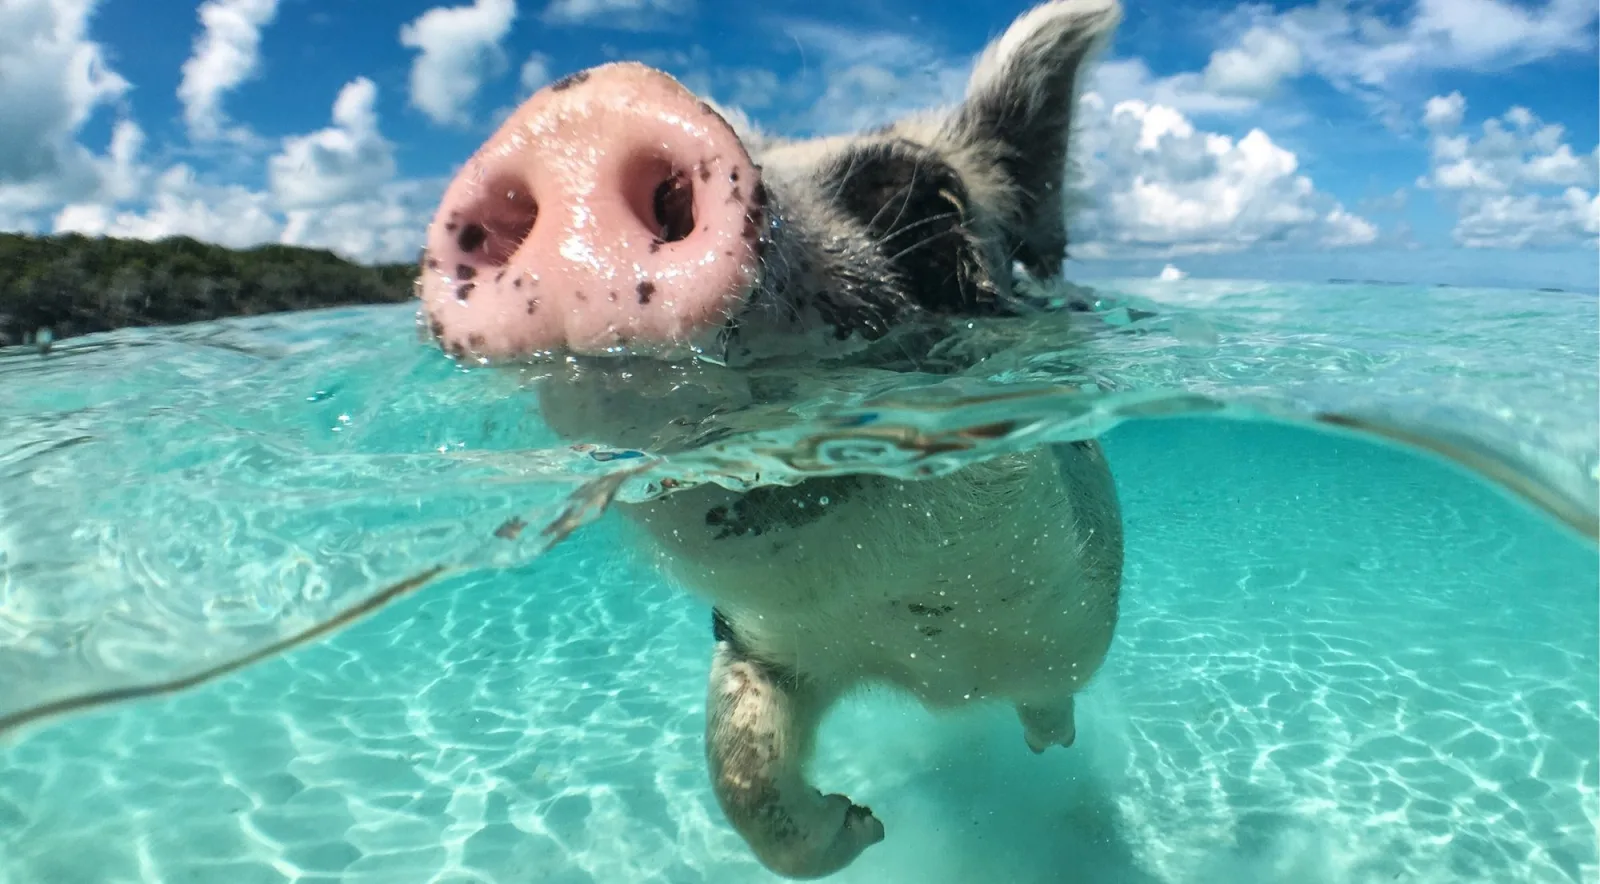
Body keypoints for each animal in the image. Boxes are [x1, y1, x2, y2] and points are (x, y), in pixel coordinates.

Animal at [415, 0, 1126, 877]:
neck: (922, 657)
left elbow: (1051, 693)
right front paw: (865, 825)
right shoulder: (758, 643)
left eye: (926, 204)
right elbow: (740, 769)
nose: (587, 111)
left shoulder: (1070, 621)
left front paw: (1018, 758)